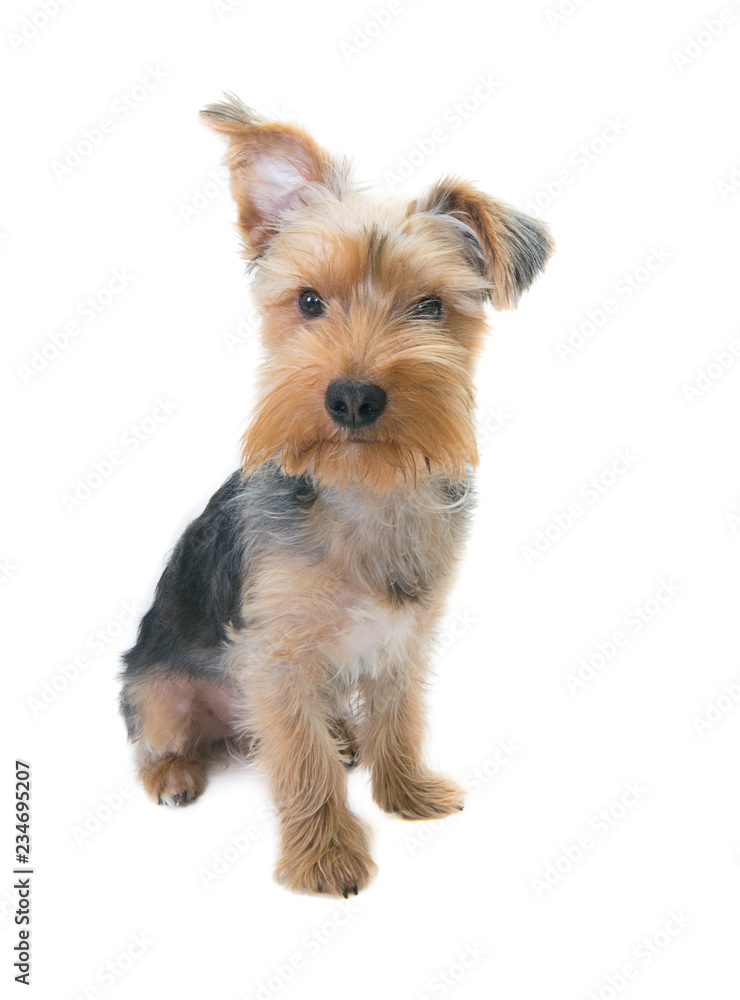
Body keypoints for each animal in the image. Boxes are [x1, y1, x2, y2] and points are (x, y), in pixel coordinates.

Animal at [118, 94, 552, 896]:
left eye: (430, 307)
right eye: (310, 301)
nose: (352, 397)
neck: (365, 486)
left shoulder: (405, 635)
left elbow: (398, 716)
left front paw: (406, 792)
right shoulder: (277, 657)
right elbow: (300, 760)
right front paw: (326, 857)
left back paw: (347, 739)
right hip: (158, 684)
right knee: (161, 733)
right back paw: (175, 773)